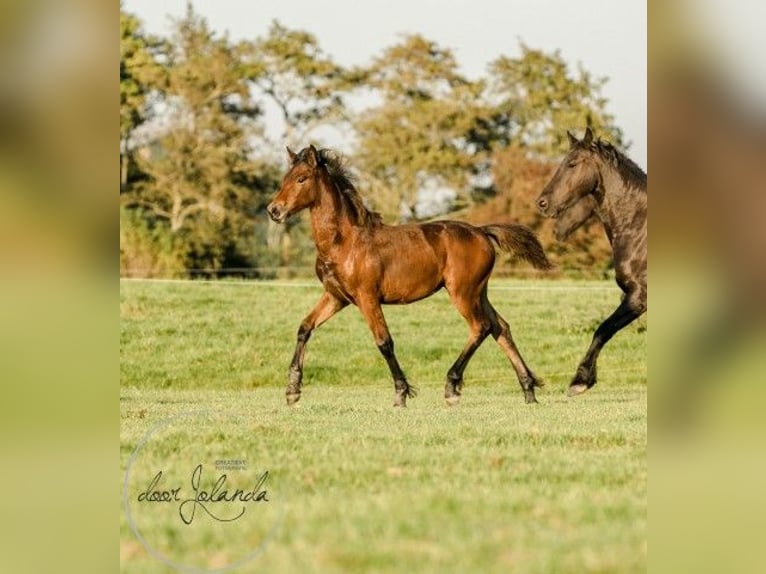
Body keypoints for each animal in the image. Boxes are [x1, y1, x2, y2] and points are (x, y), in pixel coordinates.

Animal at [268, 146, 552, 408]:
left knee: (480, 327)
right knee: (500, 328)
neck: (344, 242)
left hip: (462, 292)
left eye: (302, 178)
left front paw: (401, 393)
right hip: (479, 293)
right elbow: (305, 328)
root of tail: (481, 232)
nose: (274, 210)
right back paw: (528, 390)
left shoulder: (366, 297)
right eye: (285, 178)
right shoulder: (336, 297)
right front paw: (292, 390)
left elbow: (384, 342)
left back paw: (452, 387)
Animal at [536, 128, 652, 396]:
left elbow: (602, 330)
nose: (542, 203)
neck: (638, 229)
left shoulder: (638, 297)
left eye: (572, 163)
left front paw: (580, 381)